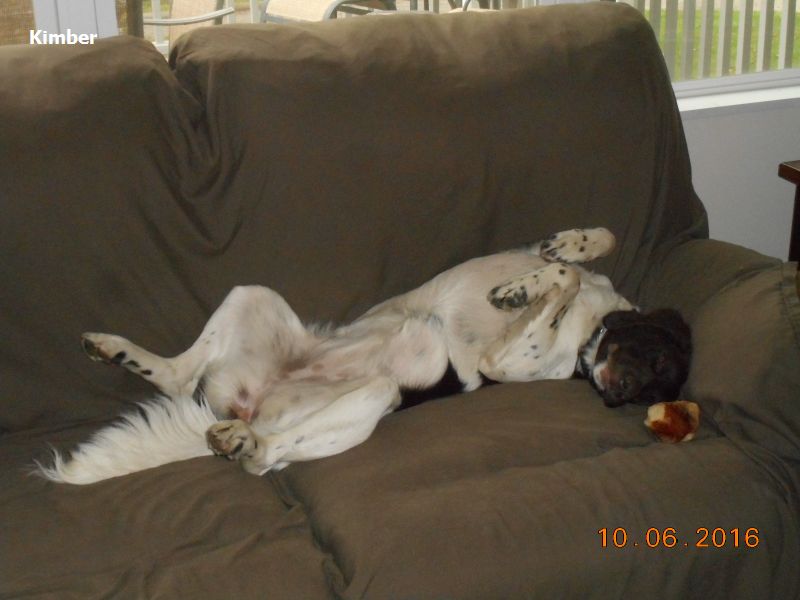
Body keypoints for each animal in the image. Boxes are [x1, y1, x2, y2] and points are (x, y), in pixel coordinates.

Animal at [36, 227, 692, 484]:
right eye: (659, 366)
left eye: (656, 385)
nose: (616, 392)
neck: (591, 331)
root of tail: (250, 406)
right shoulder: (534, 257)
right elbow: (575, 257)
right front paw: (550, 261)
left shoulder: (505, 363)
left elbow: (563, 281)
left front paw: (521, 292)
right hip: (252, 294)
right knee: (176, 376)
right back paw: (115, 350)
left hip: (374, 395)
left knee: (263, 455)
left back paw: (240, 443)